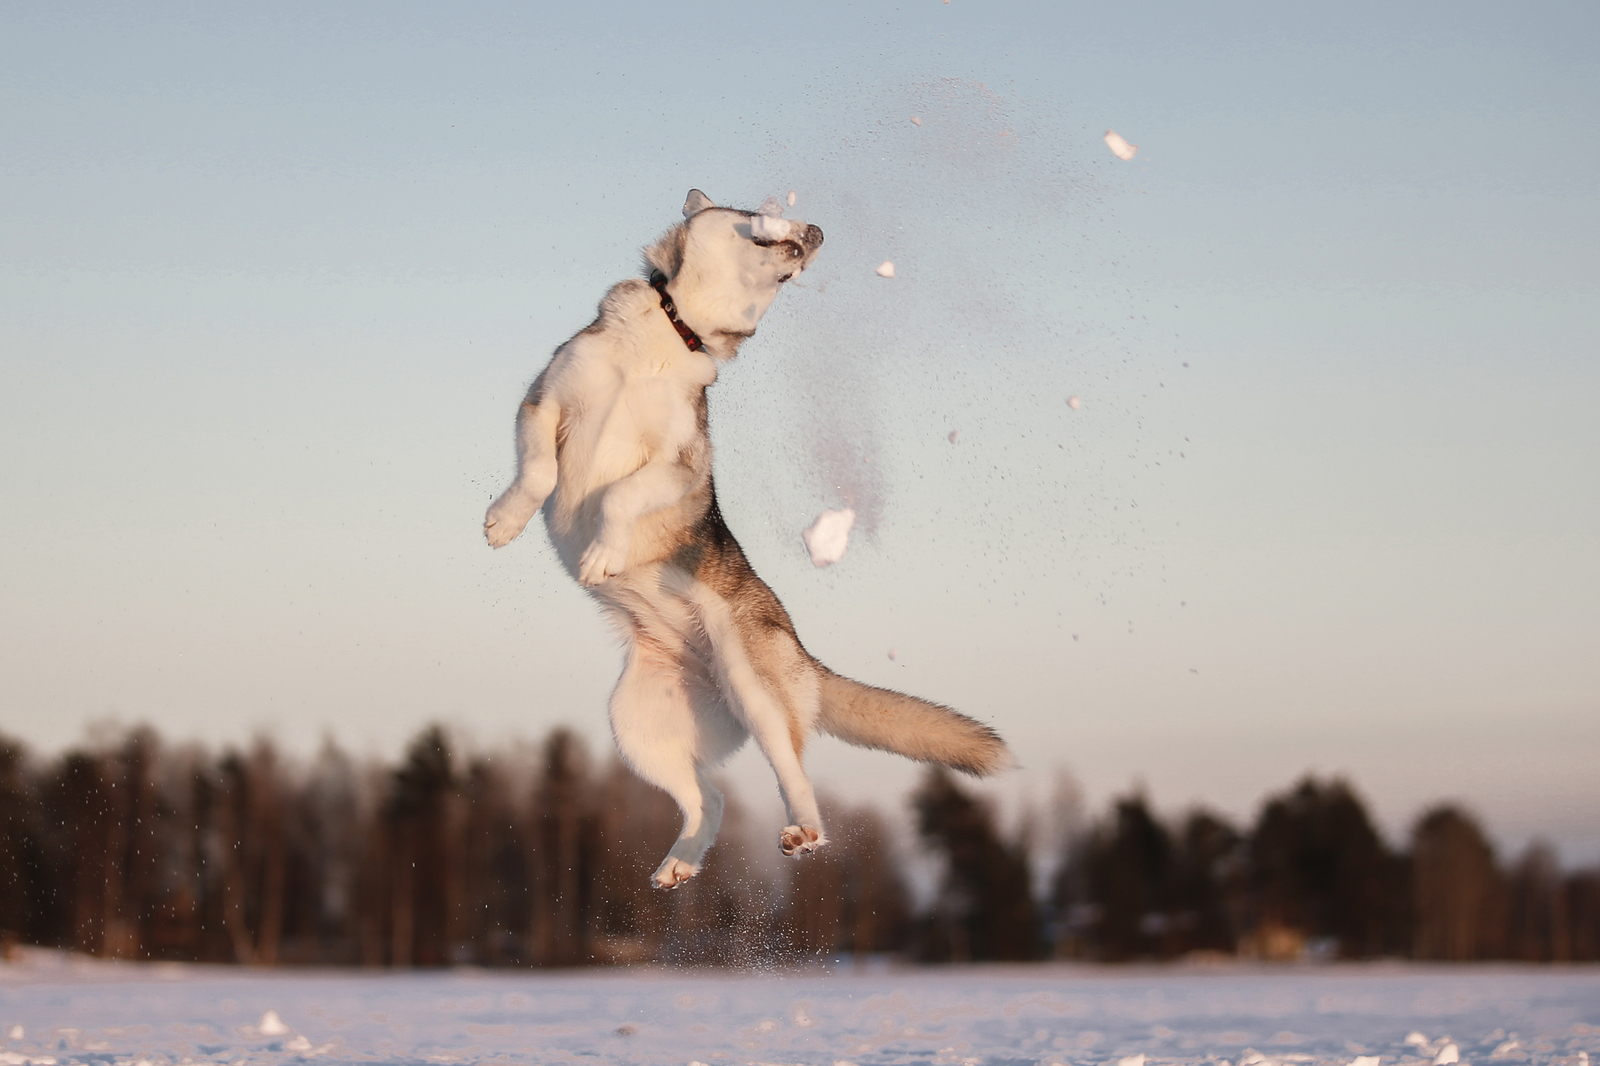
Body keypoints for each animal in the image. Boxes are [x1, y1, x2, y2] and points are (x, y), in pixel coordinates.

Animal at [483, 191, 1011, 889]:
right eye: (751, 213)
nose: (816, 230)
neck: (673, 331)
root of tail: (805, 657)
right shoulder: (543, 402)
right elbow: (540, 470)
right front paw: (506, 519)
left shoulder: (680, 465)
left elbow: (622, 495)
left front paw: (602, 551)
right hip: (638, 723)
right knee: (710, 798)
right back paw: (681, 863)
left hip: (753, 687)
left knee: (792, 772)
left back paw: (804, 830)